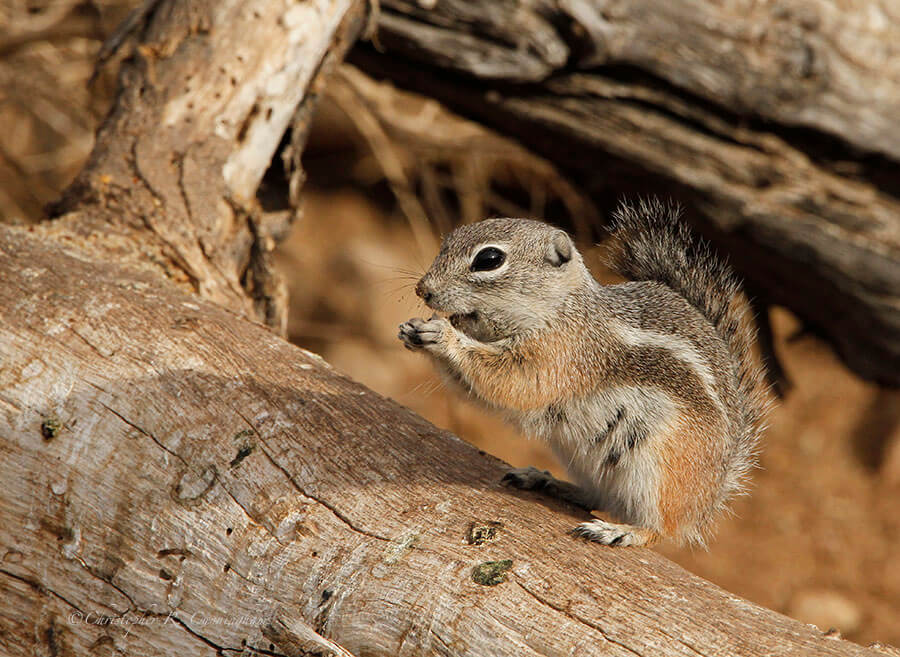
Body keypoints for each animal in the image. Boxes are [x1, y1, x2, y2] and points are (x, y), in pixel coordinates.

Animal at [398, 199, 768, 544]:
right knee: (598, 497)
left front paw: (443, 336)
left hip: (659, 468)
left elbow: (513, 383)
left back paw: (622, 531)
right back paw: (546, 480)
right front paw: (413, 331)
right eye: (449, 239)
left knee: (662, 528)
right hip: (584, 462)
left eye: (489, 259)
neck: (560, 307)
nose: (422, 289)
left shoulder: (562, 354)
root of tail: (713, 493)